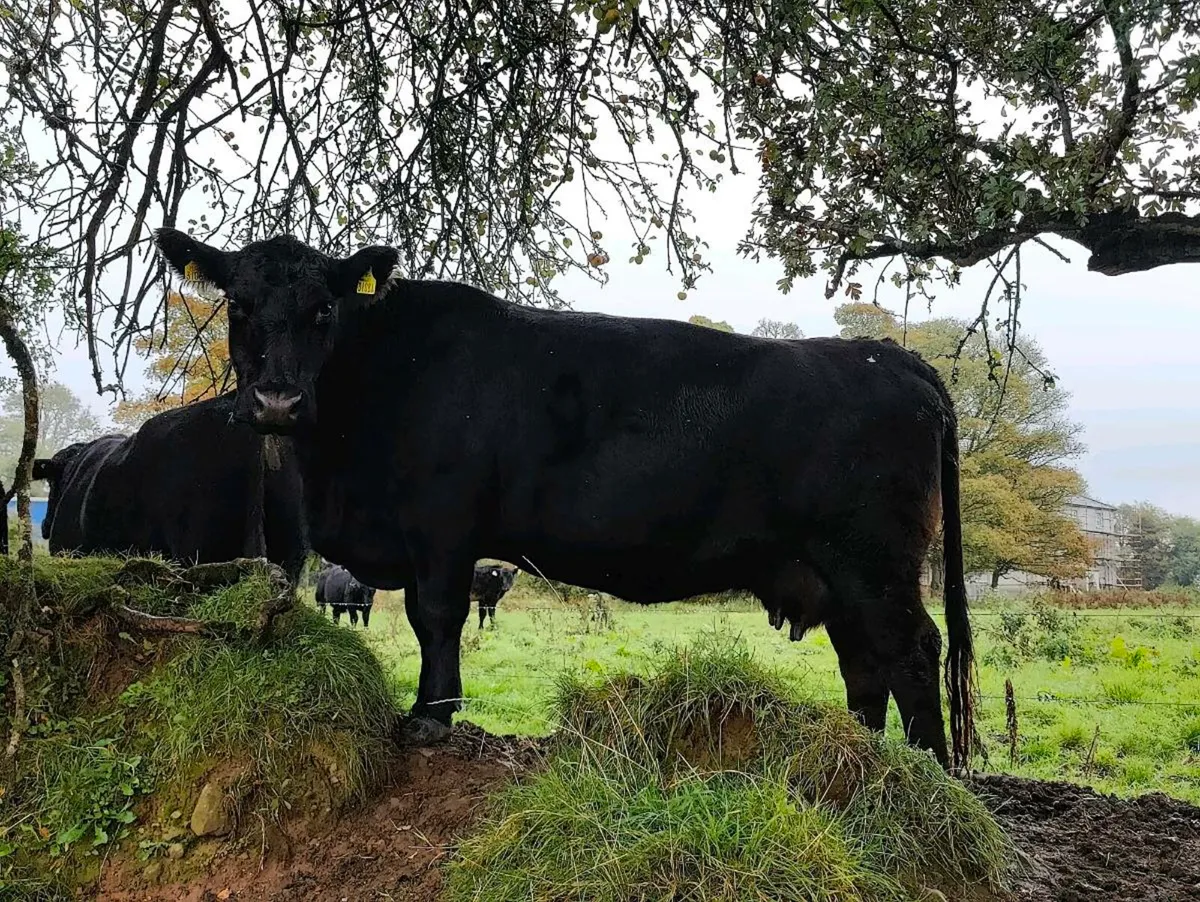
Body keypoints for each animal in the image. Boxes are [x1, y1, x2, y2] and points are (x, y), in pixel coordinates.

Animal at [152, 228, 976, 771]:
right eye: (238, 306)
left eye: (322, 310)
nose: (277, 400)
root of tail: (891, 358)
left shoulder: (442, 526)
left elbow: (435, 618)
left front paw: (431, 718)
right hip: (835, 571)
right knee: (864, 663)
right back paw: (863, 757)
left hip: (875, 560)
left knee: (911, 650)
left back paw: (932, 772)